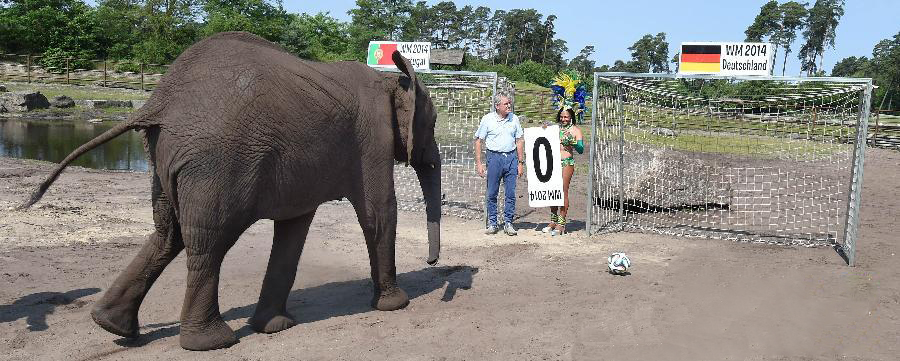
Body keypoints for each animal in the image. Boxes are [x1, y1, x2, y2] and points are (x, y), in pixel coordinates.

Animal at [19, 31, 442, 352]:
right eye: (433, 121)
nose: (433, 261)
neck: (391, 79)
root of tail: (159, 101)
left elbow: (294, 227)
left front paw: (274, 327)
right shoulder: (372, 138)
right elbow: (378, 213)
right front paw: (395, 305)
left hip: (165, 157)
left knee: (168, 233)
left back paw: (111, 326)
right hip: (217, 162)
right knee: (209, 241)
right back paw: (211, 343)